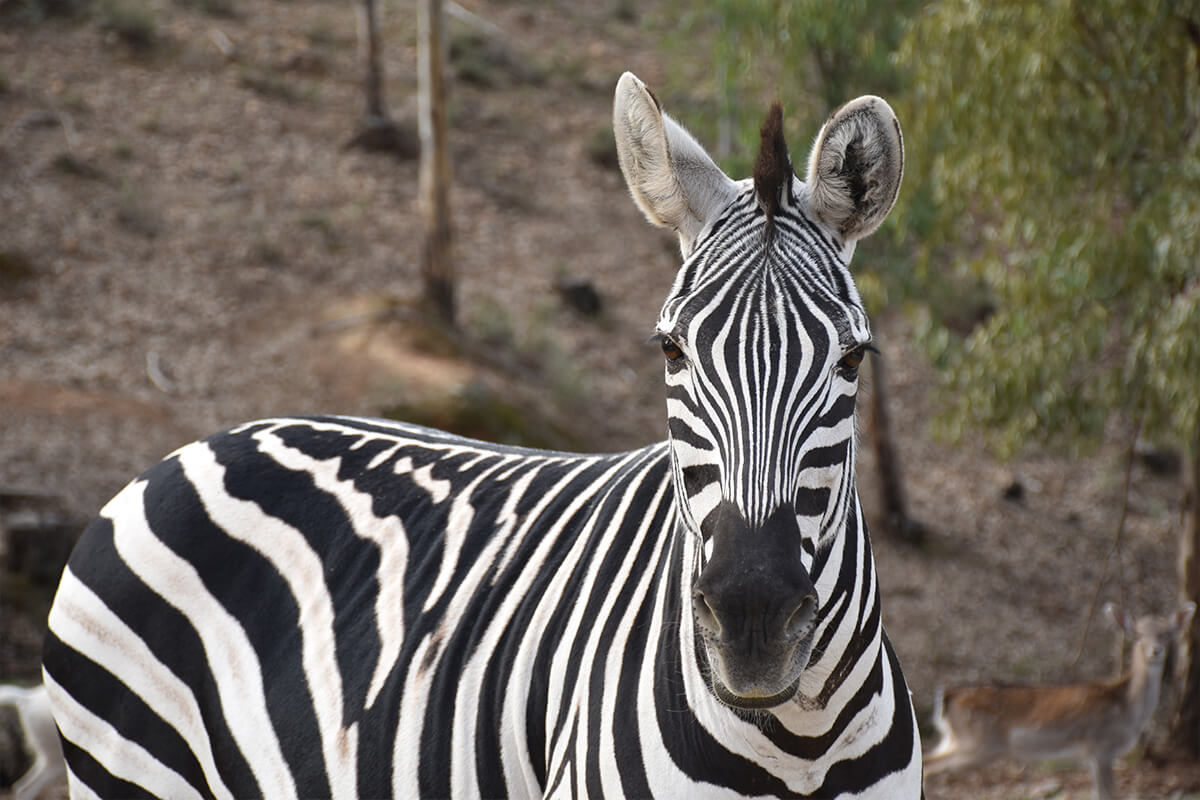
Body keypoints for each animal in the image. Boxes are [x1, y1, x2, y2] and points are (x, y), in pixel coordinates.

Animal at [37, 70, 916, 800]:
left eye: (852, 357)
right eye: (671, 350)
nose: (752, 623)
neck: (799, 742)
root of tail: (195, 448)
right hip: (130, 769)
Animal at [926, 604, 1190, 796]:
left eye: (1166, 634)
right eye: (1137, 634)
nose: (1155, 651)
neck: (1128, 710)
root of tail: (947, 698)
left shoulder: (1095, 756)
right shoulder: (1100, 747)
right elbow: (1108, 795)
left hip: (956, 741)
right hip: (977, 745)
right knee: (930, 766)